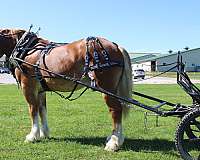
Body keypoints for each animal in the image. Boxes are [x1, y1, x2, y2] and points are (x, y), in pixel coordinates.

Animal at [0, 28, 133, 151]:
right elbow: (42, 110)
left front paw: (32, 136)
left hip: (107, 89)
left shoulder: (28, 87)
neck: (26, 50)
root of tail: (116, 46)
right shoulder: (40, 90)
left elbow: (33, 110)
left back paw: (114, 142)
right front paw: (44, 133)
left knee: (115, 110)